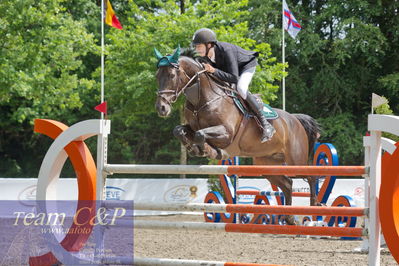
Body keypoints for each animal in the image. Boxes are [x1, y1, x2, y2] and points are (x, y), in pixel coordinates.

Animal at [154, 46, 322, 224]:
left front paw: (207, 150)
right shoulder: (191, 127)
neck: (202, 99)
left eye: (172, 75)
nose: (161, 108)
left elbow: (200, 134)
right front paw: (194, 148)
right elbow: (179, 130)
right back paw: (290, 218)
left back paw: (315, 207)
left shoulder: (226, 133)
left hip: (296, 161)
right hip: (267, 164)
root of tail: (295, 119)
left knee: (311, 177)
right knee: (288, 183)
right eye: (157, 76)